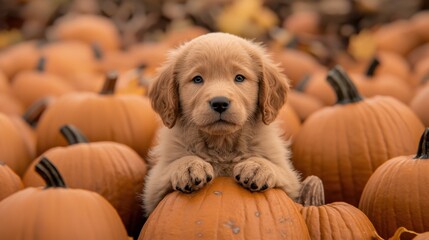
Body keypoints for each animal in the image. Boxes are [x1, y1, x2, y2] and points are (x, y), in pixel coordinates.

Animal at [142, 32, 300, 216]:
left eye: (239, 78)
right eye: (197, 79)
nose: (219, 103)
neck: (222, 145)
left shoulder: (290, 181)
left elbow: (277, 169)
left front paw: (257, 167)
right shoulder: (154, 189)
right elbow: (170, 168)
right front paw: (189, 166)